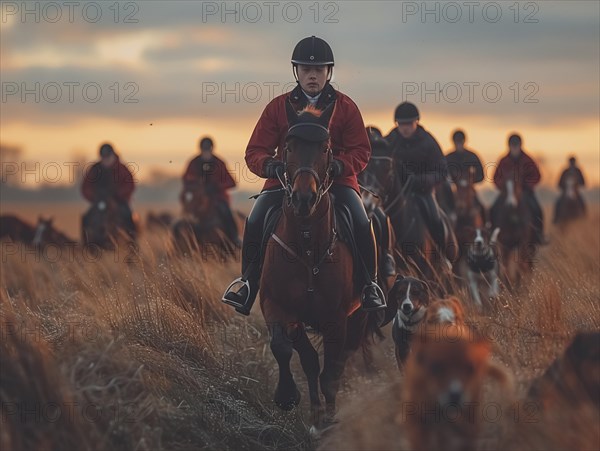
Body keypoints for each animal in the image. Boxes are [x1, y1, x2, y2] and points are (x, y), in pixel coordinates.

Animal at [262, 102, 378, 434]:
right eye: (288, 146)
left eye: (326, 148)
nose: (304, 198)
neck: (306, 243)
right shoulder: (276, 305)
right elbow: (290, 351)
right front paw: (289, 398)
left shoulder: (335, 319)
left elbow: (330, 373)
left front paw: (327, 422)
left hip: (359, 316)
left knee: (343, 359)